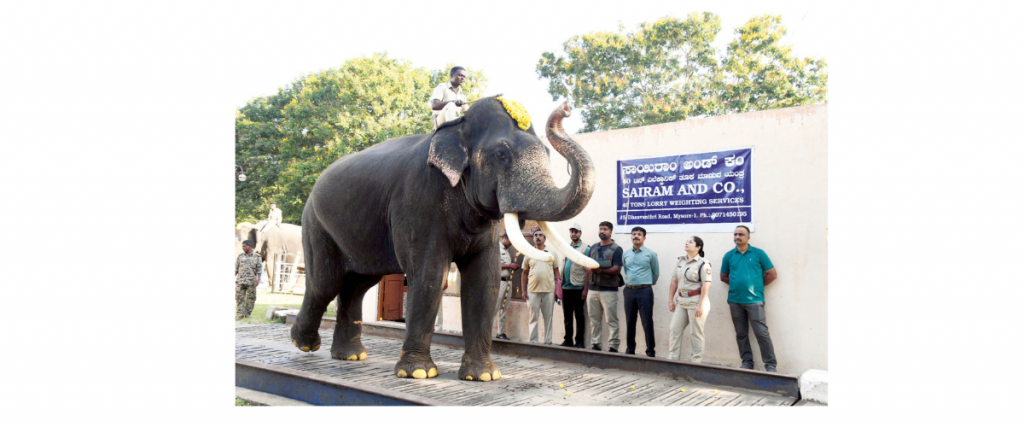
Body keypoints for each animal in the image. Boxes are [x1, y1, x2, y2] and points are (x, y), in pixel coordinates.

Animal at [290, 98, 599, 382]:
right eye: (501, 154)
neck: (458, 127)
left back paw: (350, 355)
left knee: (357, 284)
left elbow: (484, 280)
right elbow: (430, 275)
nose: (566, 107)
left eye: (546, 152)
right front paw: (418, 373)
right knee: (325, 282)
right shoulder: (418, 201)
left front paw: (484, 376)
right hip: (316, 224)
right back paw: (304, 344)